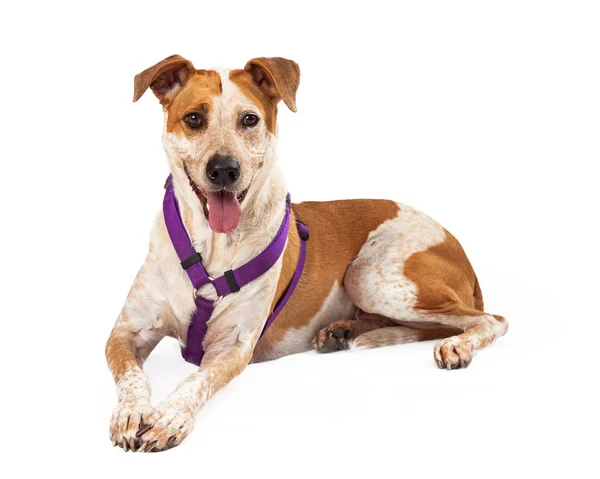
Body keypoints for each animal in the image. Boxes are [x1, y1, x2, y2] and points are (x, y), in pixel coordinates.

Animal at [106, 55, 506, 454]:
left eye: (249, 119)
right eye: (193, 118)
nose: (224, 169)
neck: (212, 246)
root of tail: (461, 250)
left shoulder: (233, 347)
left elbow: (197, 382)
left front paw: (170, 417)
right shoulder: (126, 332)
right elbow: (131, 375)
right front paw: (131, 412)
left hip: (367, 275)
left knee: (489, 320)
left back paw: (455, 345)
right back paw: (342, 331)